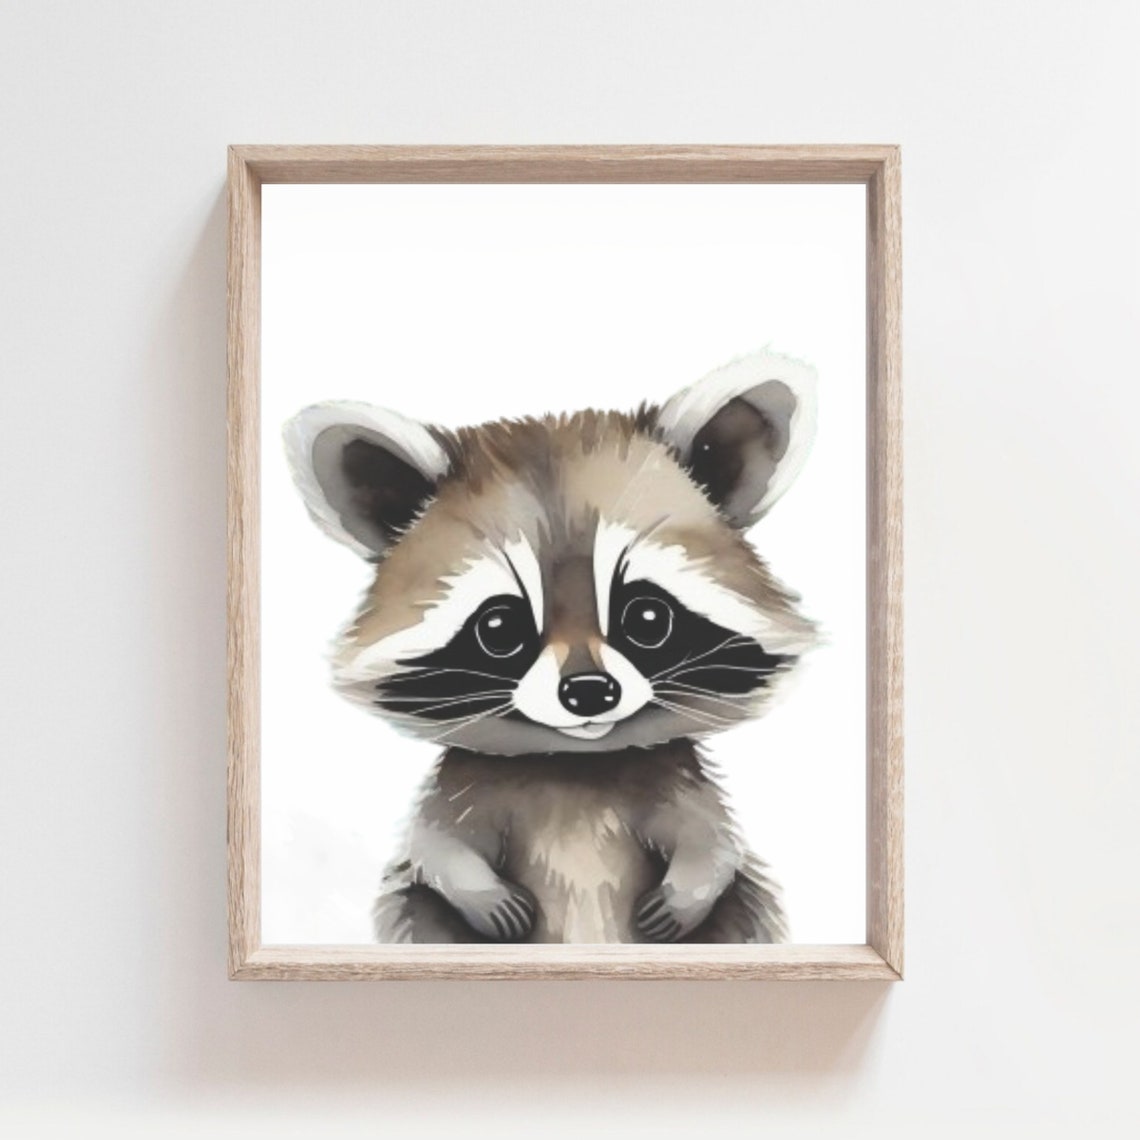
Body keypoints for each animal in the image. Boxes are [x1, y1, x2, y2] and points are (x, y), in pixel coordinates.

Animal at [284, 351, 819, 944]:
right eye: (499, 629)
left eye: (647, 618)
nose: (588, 691)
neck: (573, 762)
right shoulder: (464, 785)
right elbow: (436, 844)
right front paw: (480, 893)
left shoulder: (676, 780)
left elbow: (711, 838)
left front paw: (688, 891)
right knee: (414, 906)